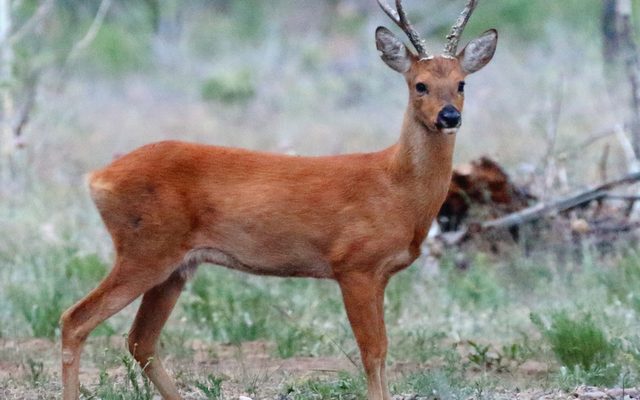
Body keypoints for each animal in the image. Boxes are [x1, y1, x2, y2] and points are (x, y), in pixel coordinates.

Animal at [59, 1, 497, 399]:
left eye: (462, 83)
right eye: (419, 84)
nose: (449, 116)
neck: (395, 186)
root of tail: (97, 178)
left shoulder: (379, 273)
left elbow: (382, 350)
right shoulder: (354, 265)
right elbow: (373, 352)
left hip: (176, 265)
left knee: (140, 341)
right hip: (145, 249)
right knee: (75, 320)